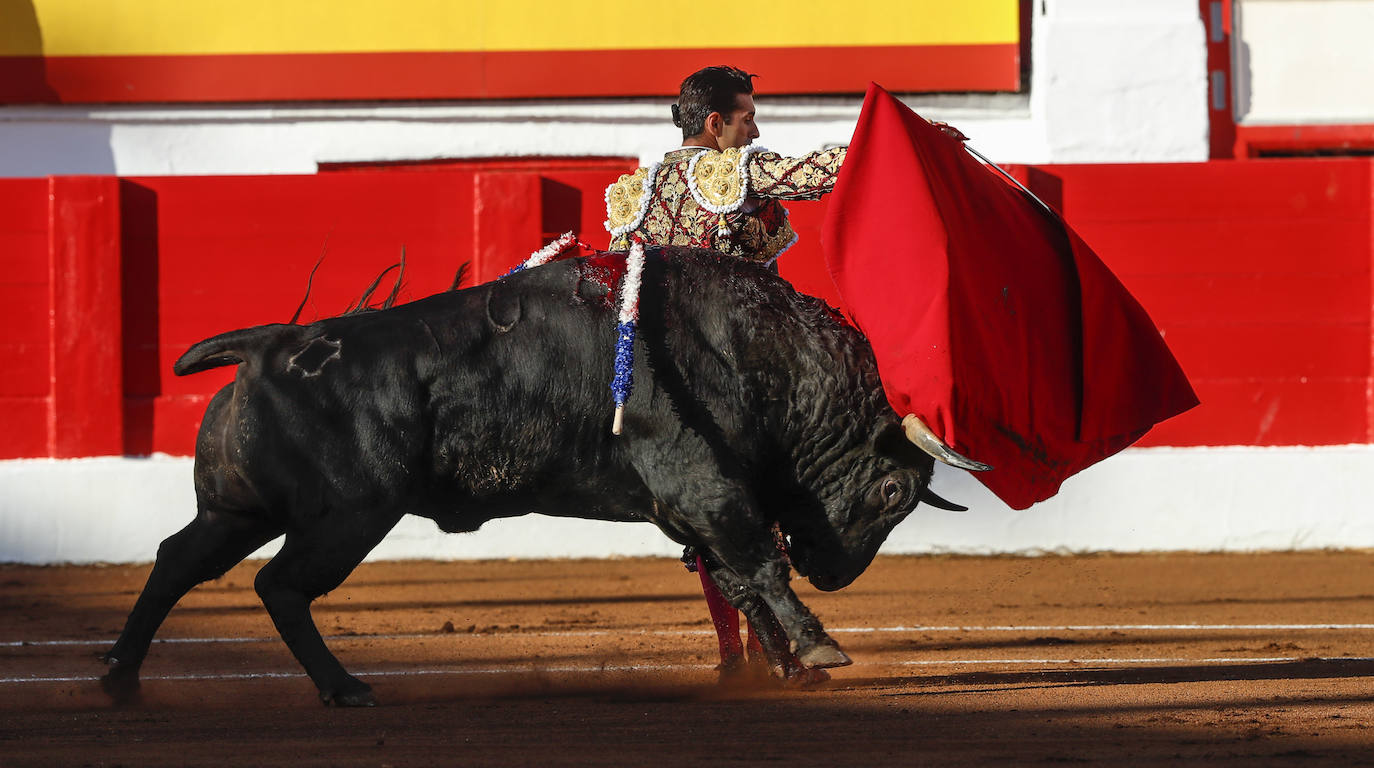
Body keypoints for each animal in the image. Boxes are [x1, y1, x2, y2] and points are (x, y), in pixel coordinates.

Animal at [101, 250, 983, 708]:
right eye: (893, 493)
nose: (831, 573)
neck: (758, 352)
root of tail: (271, 344)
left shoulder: (695, 508)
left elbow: (738, 580)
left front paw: (790, 669)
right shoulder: (703, 486)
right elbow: (758, 565)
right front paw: (820, 646)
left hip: (241, 510)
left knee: (181, 560)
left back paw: (120, 677)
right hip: (349, 514)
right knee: (280, 585)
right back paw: (344, 687)